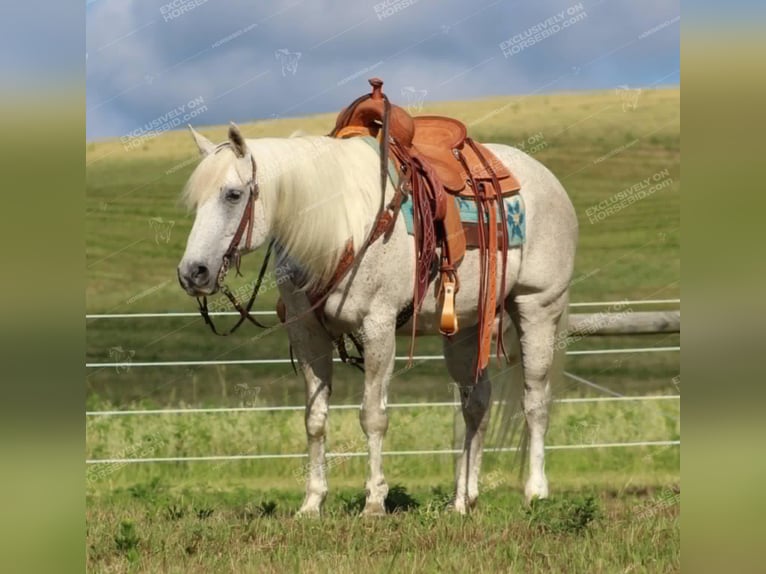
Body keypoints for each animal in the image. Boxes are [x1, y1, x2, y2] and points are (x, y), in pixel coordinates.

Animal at [177, 122, 580, 516]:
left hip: (537, 307)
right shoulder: (307, 332)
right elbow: (315, 419)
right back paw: (463, 501)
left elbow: (372, 415)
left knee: (535, 401)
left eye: (233, 195)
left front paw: (374, 502)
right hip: (465, 328)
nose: (192, 273)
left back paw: (535, 493)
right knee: (476, 404)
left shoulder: (378, 326)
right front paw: (312, 503)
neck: (337, 228)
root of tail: (548, 180)